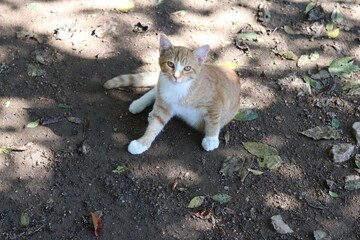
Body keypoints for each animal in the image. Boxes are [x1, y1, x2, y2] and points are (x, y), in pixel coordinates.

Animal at [102, 33, 240, 155]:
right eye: (170, 64)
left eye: (187, 68)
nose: (176, 76)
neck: (179, 89)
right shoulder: (165, 105)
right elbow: (154, 126)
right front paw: (142, 143)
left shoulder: (215, 103)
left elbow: (214, 120)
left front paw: (211, 139)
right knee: (156, 91)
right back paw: (139, 104)